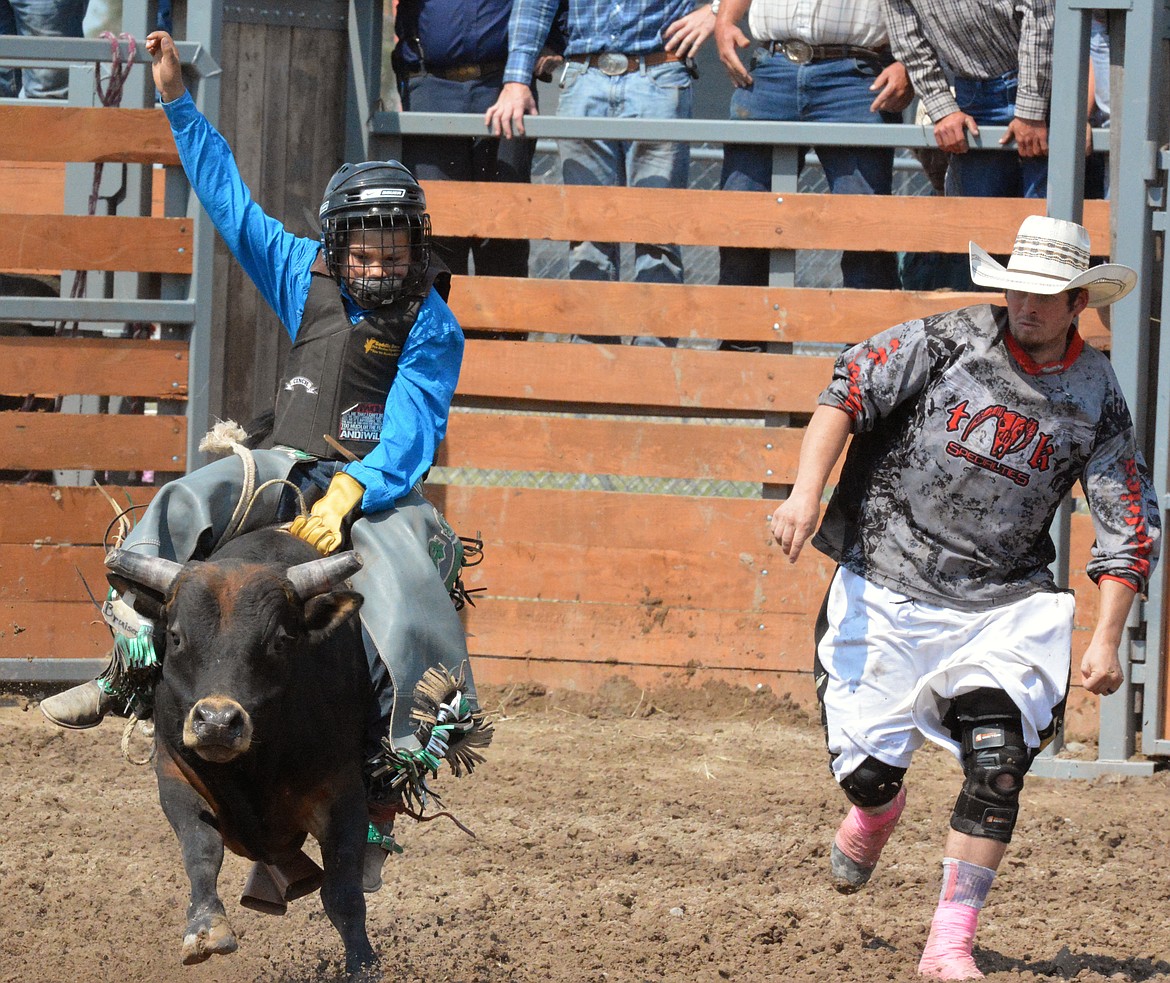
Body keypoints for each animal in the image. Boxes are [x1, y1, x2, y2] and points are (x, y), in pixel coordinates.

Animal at [107, 526, 374, 973]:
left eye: (281, 640)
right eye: (175, 636)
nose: (216, 721)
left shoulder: (343, 791)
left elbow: (343, 892)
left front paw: (363, 966)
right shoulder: (175, 772)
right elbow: (201, 849)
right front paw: (206, 927)